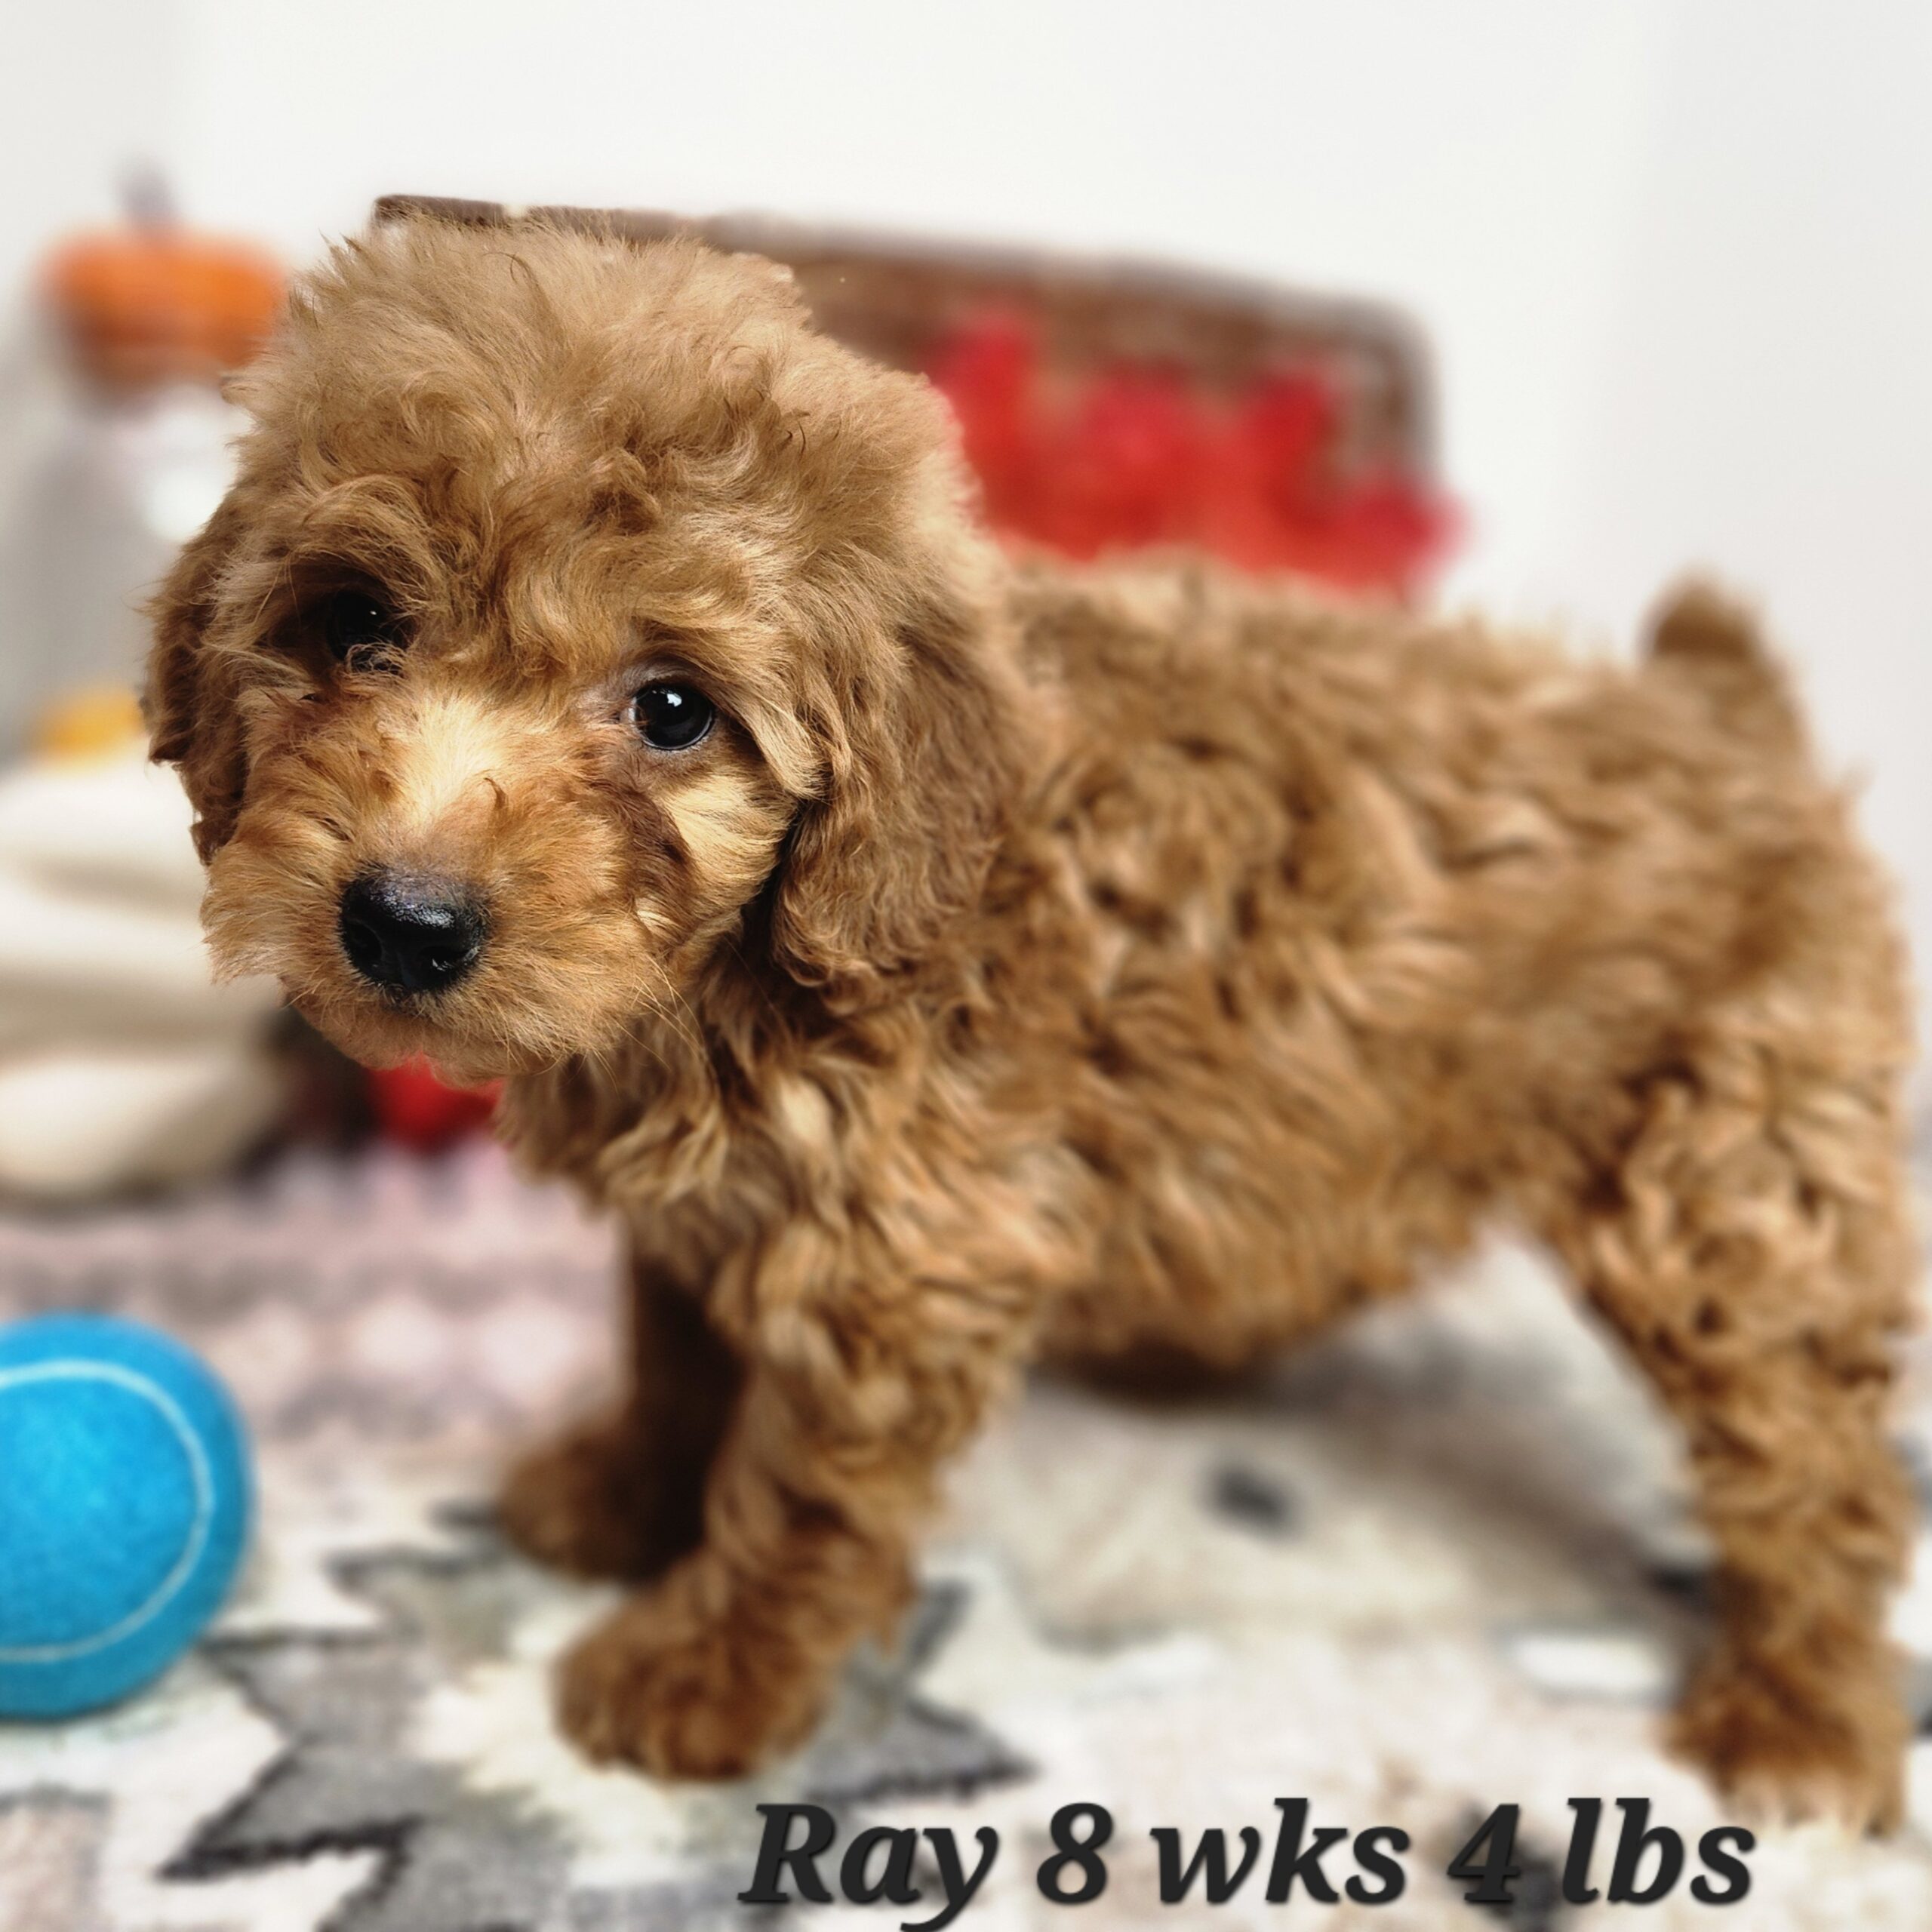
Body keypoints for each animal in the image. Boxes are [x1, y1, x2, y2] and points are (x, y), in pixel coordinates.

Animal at [146, 211, 1916, 1823]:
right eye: (356, 627)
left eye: (671, 709)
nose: (403, 920)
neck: (735, 978)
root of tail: (1728, 708)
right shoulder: (711, 1210)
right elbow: (676, 1355)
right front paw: (622, 1496)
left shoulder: (903, 1261)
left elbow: (793, 1501)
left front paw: (700, 1675)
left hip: (1732, 1186)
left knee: (1817, 1473)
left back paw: (1803, 1726)